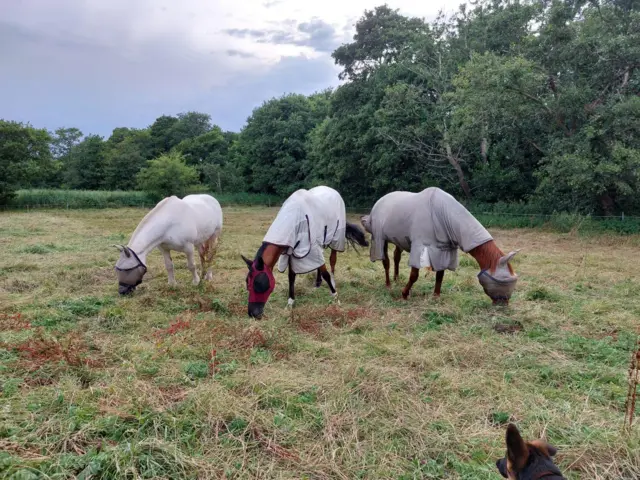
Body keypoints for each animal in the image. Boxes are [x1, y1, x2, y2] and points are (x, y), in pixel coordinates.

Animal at [241, 185, 368, 319]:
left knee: (332, 261)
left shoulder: (311, 248)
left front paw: (335, 297)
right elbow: (291, 277)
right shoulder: (292, 252)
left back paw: (333, 282)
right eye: (247, 283)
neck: (293, 217)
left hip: (336, 238)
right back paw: (317, 283)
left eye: (258, 283)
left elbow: (326, 274)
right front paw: (290, 303)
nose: (252, 313)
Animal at [360, 187, 519, 305]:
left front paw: (436, 296)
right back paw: (388, 284)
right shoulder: (419, 248)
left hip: (398, 240)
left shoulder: (444, 251)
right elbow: (414, 276)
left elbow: (440, 275)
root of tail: (380, 201)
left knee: (396, 257)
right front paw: (404, 294)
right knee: (386, 261)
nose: (503, 304)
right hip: (380, 239)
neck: (442, 214)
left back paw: (396, 278)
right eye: (504, 279)